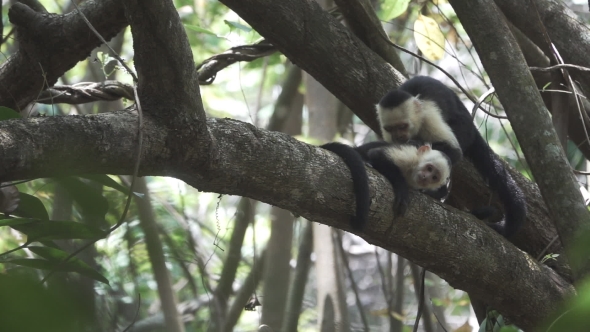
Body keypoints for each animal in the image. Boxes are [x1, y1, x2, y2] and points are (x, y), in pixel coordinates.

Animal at [320, 141, 454, 231]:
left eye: (434, 177)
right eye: (429, 168)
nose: (425, 177)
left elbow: (441, 192)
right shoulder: (409, 156)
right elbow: (377, 154)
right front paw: (402, 189)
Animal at [376, 75, 528, 239]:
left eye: (403, 126)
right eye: (390, 129)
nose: (398, 137)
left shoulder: (429, 114)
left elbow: (453, 151)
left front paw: (417, 144)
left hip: (465, 127)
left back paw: (438, 192)